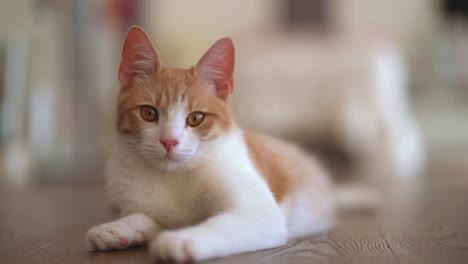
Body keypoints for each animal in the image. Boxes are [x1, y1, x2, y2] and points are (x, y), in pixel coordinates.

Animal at [86, 26, 334, 262]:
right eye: (148, 113)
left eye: (196, 118)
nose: (169, 141)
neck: (174, 177)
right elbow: (146, 218)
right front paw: (119, 228)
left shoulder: (261, 213)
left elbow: (222, 224)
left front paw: (181, 239)